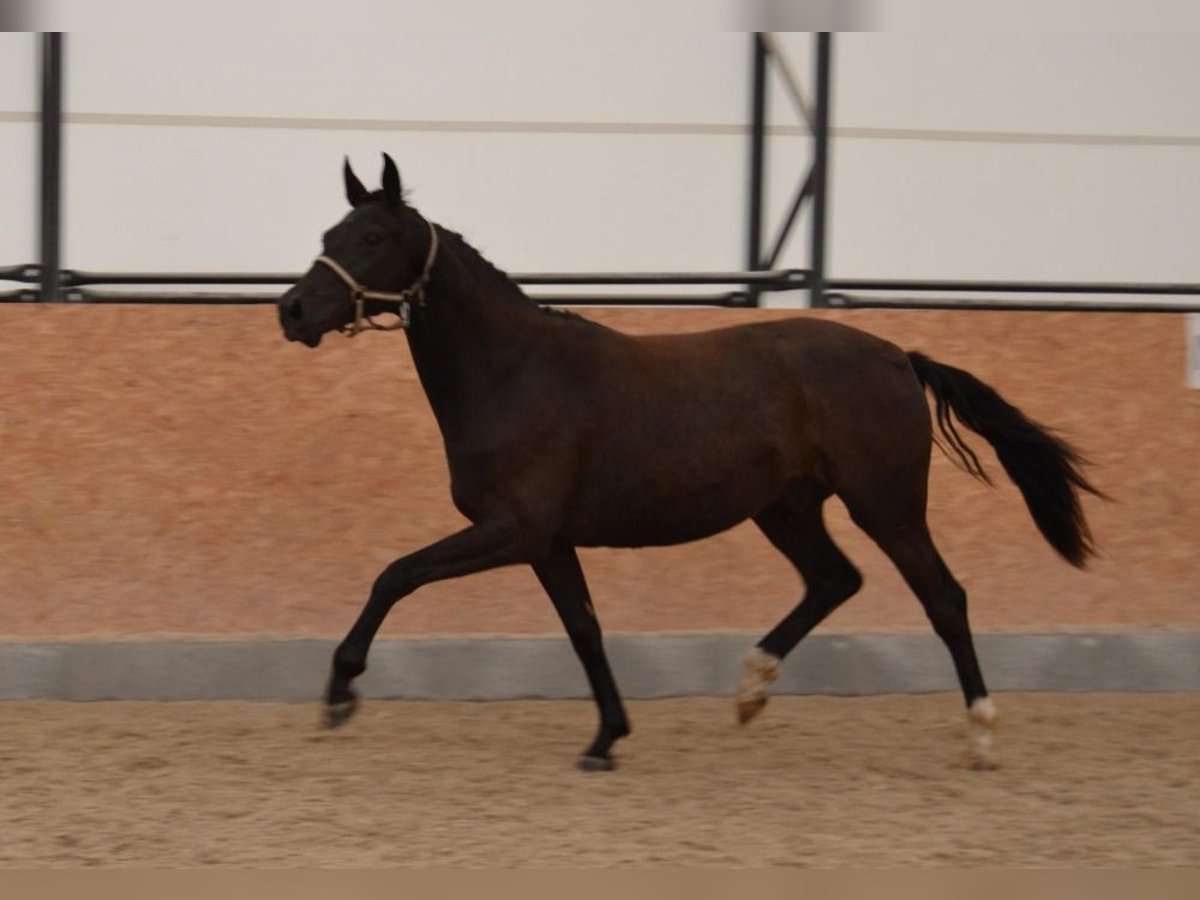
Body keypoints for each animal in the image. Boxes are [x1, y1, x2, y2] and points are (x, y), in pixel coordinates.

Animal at [276, 154, 1099, 777]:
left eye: (373, 235)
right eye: (330, 232)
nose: (292, 312)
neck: (515, 375)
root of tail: (900, 356)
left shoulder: (515, 530)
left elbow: (396, 575)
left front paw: (339, 694)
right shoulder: (548, 542)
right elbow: (584, 630)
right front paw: (606, 741)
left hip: (885, 504)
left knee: (944, 599)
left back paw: (982, 736)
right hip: (786, 507)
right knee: (835, 580)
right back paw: (750, 689)